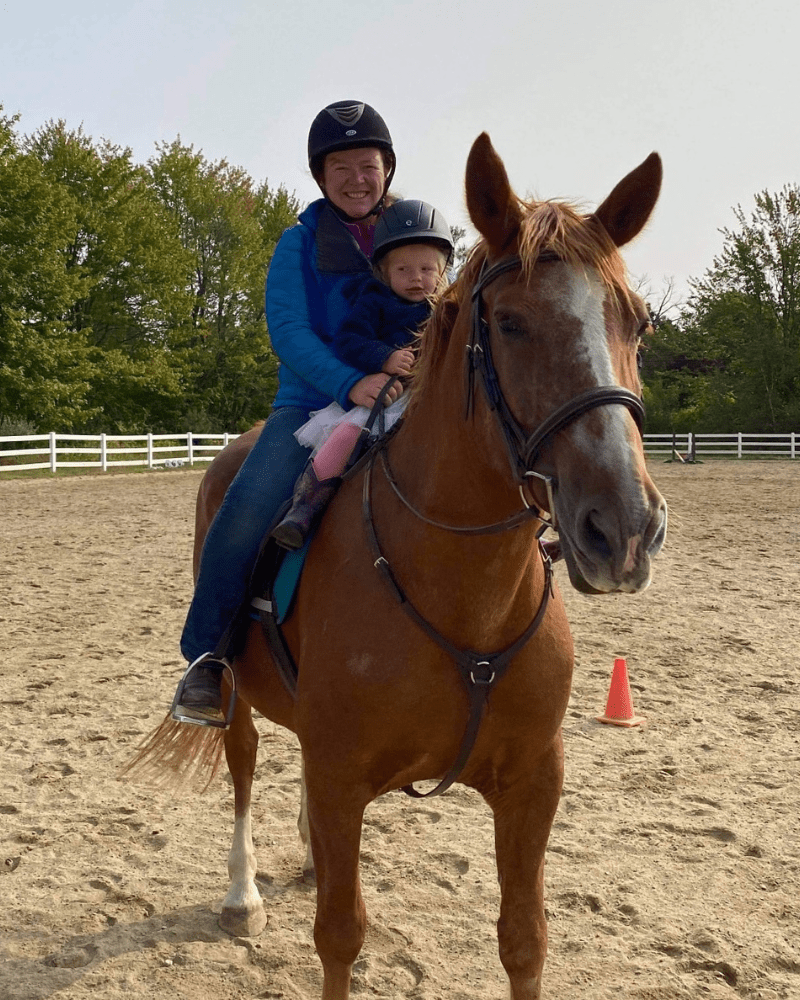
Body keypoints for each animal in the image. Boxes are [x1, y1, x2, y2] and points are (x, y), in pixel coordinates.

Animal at [136, 135, 664, 1000]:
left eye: (638, 322)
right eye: (510, 322)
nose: (622, 528)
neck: (461, 596)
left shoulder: (532, 783)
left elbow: (525, 941)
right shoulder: (343, 776)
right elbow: (340, 936)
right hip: (235, 694)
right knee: (244, 773)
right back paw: (243, 896)